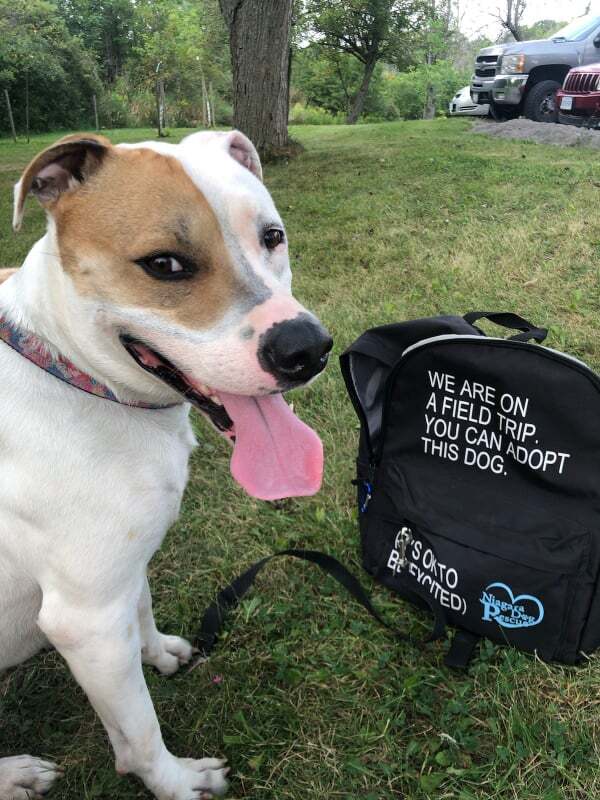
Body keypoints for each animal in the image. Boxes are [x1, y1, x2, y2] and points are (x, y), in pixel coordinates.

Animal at [0, 133, 332, 800]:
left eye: (272, 236)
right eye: (165, 265)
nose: (307, 348)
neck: (74, 372)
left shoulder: (125, 573)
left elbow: (144, 608)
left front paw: (159, 654)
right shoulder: (87, 622)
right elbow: (139, 730)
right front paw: (178, 782)